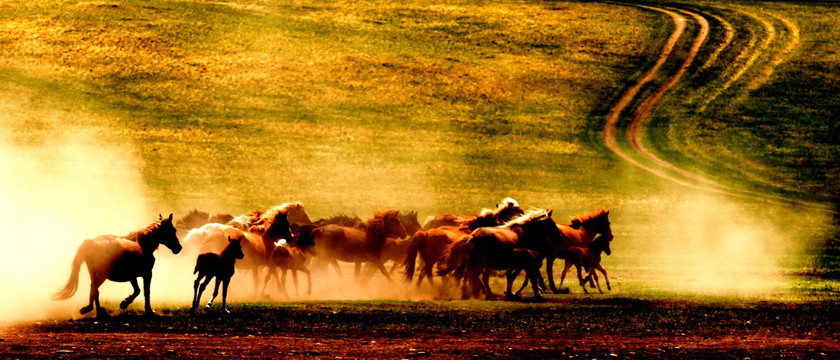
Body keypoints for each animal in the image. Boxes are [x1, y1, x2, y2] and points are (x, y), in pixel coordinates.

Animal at [54, 214, 184, 318]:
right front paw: (146, 310)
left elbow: (138, 290)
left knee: (95, 289)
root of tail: (92, 243)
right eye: (172, 230)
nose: (178, 248)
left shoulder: (133, 276)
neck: (143, 245)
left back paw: (98, 312)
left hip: (94, 272)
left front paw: (126, 303)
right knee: (95, 288)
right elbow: (145, 292)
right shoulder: (146, 274)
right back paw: (92, 310)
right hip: (103, 274)